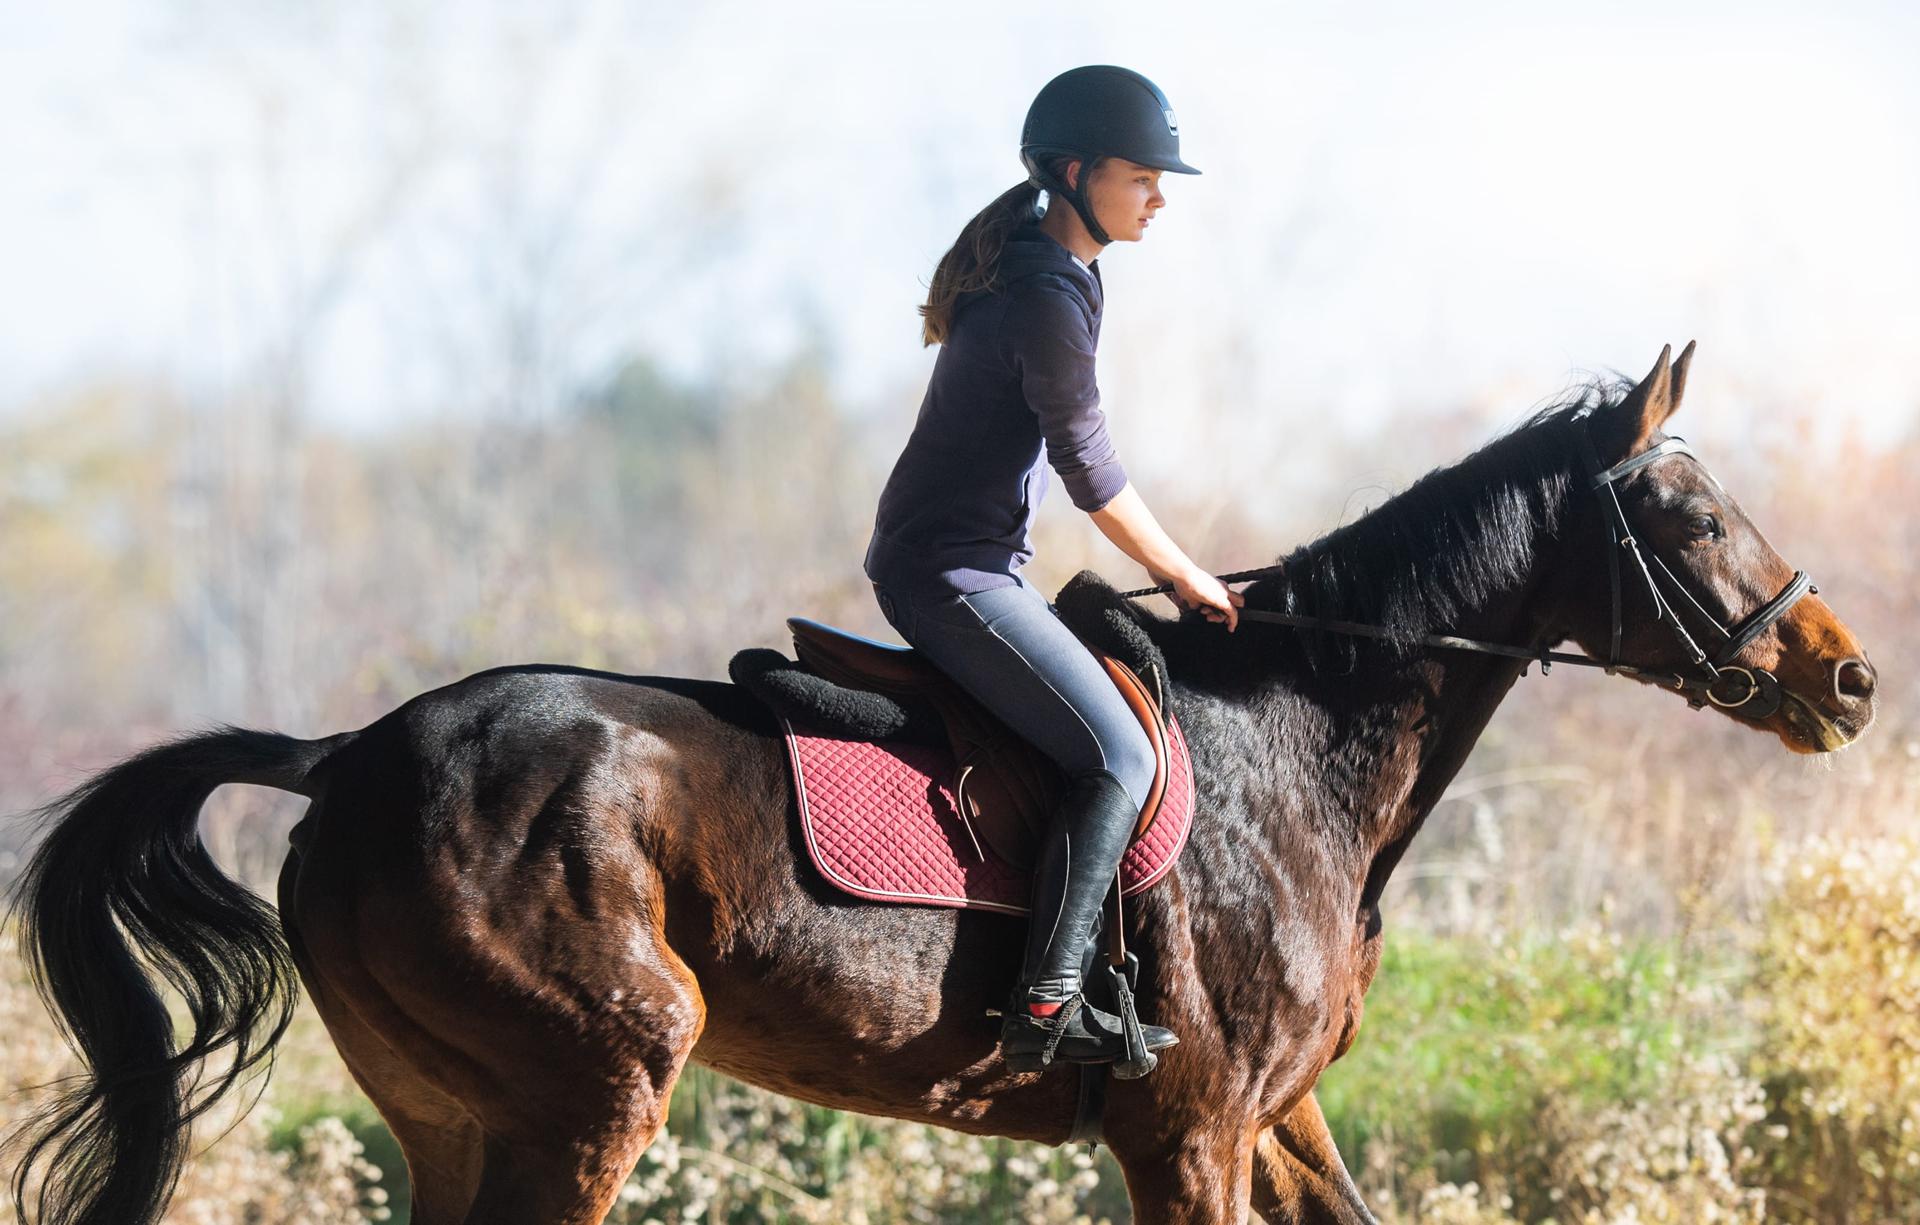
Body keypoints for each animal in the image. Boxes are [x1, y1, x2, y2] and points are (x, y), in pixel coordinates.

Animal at [6, 342, 1877, 1224]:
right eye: (1693, 516)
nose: (1849, 677)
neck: (1302, 740)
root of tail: (347, 755)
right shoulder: (1190, 1130)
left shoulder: (1275, 1121)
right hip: (590, 1087)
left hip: (460, 1112)